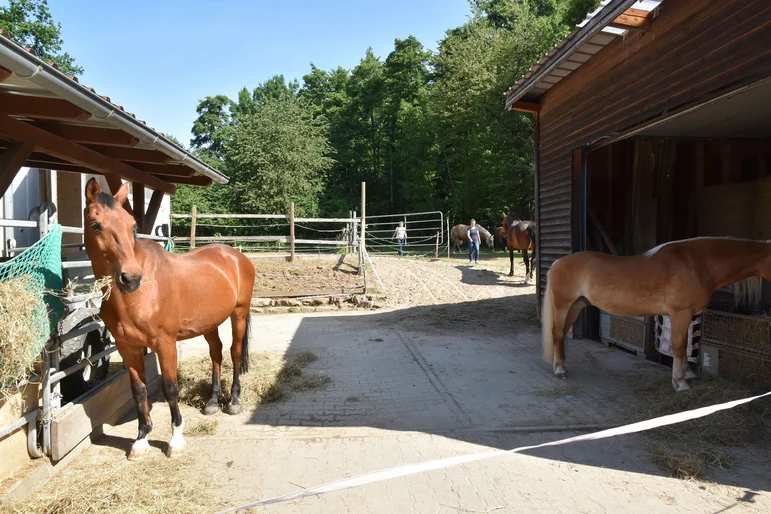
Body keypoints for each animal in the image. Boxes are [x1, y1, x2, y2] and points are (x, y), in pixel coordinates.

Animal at [83, 179, 256, 461]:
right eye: (96, 225)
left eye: (131, 225)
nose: (131, 278)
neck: (140, 295)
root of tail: (236, 255)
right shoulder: (128, 347)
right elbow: (138, 390)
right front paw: (141, 440)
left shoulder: (165, 344)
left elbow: (170, 387)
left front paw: (175, 441)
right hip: (209, 322)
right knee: (216, 353)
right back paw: (211, 402)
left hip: (238, 314)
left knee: (235, 352)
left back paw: (234, 402)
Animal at [541, 237, 771, 392]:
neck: (699, 263)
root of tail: (558, 263)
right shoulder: (680, 313)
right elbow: (678, 346)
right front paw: (680, 383)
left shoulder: (686, 315)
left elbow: (685, 346)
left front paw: (688, 374)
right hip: (563, 305)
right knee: (557, 333)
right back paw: (560, 370)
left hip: (576, 306)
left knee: (561, 334)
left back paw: (561, 364)